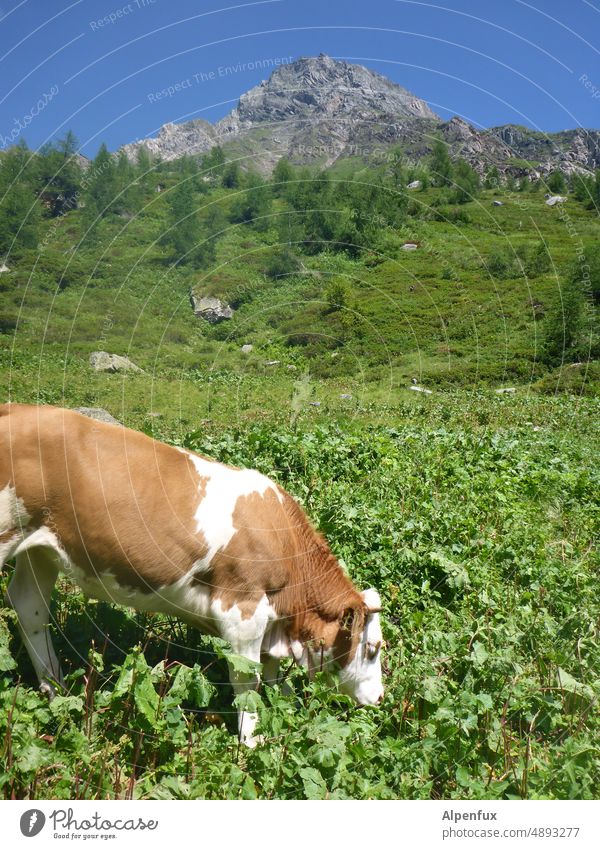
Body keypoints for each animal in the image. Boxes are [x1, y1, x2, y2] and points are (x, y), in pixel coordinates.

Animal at [0, 404, 384, 744]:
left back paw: (56, 691)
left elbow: (271, 672)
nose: (380, 698)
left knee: (30, 608)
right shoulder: (242, 610)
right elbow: (247, 680)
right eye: (372, 648)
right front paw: (251, 742)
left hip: (39, 549)